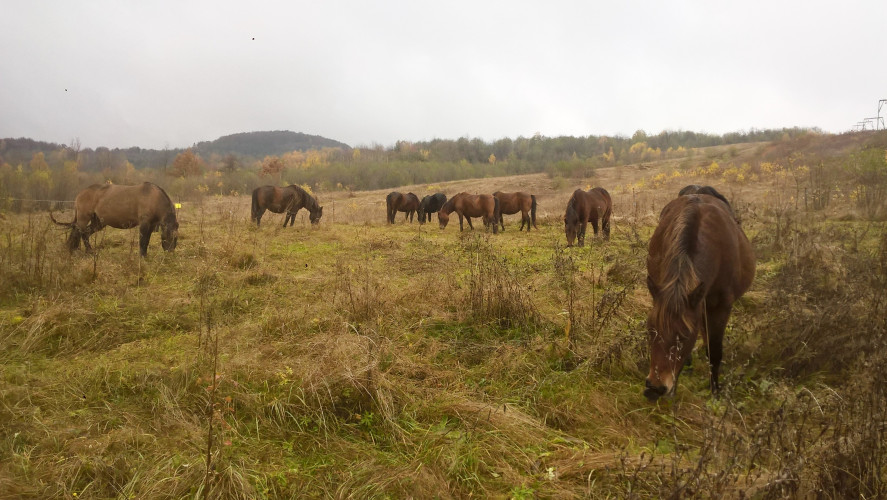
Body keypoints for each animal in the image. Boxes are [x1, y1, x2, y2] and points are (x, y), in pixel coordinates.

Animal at [50, 182, 179, 257]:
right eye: (171, 236)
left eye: (176, 237)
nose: (170, 254)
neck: (153, 197)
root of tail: (81, 192)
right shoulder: (144, 224)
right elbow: (143, 240)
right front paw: (142, 257)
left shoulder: (152, 225)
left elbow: (146, 240)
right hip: (83, 218)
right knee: (78, 232)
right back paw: (75, 251)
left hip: (98, 222)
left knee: (85, 233)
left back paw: (90, 252)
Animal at [643, 194, 755, 401]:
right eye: (650, 331)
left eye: (684, 335)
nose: (654, 388)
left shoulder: (720, 307)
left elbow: (714, 351)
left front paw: (715, 392)